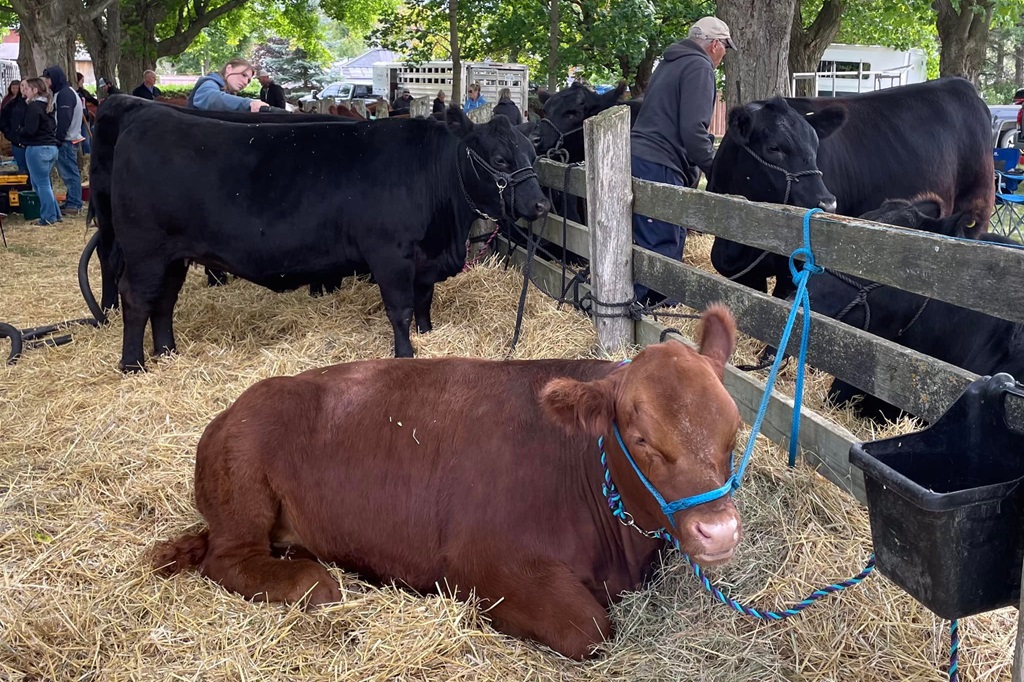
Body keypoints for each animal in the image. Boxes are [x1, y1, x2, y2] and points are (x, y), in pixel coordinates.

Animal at [98, 100, 550, 371]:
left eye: (533, 154)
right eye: (499, 159)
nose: (542, 205)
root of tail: (143, 112)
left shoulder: (423, 258)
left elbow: (424, 301)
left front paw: (429, 336)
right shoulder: (390, 254)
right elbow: (400, 310)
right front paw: (405, 355)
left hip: (173, 254)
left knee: (164, 300)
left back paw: (168, 353)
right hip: (145, 250)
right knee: (136, 298)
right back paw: (133, 364)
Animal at [152, 306, 743, 660]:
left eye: (734, 427)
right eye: (642, 439)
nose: (718, 530)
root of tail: (232, 409)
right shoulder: (485, 565)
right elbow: (591, 630)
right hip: (245, 490)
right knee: (228, 559)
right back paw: (312, 581)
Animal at [710, 78, 995, 300]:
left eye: (816, 145)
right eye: (773, 148)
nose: (827, 204)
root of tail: (961, 85)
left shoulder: (794, 272)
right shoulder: (744, 274)